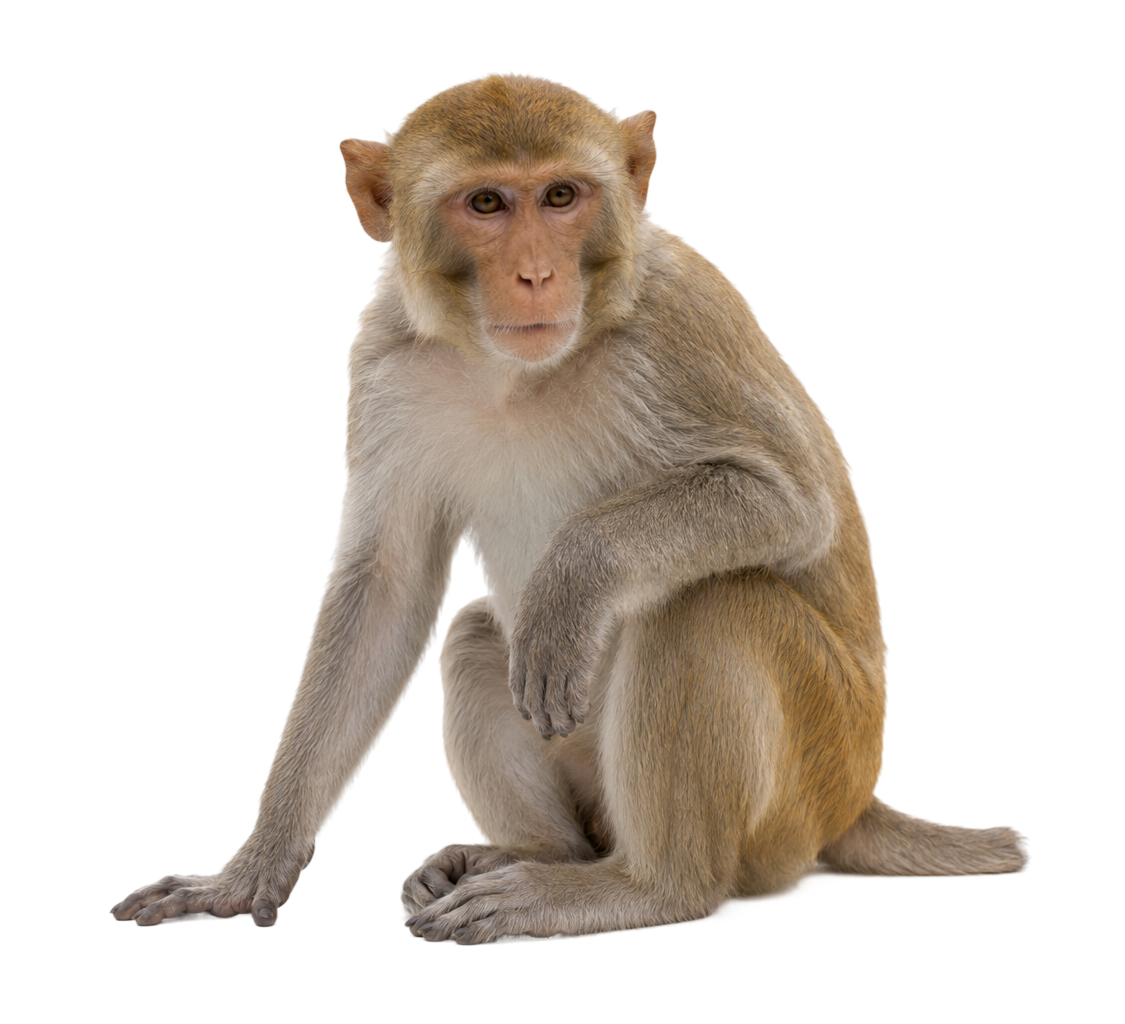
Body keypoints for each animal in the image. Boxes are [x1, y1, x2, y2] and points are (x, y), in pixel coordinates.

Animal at [109, 73, 1030, 941]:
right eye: (486, 203)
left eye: (560, 196)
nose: (535, 275)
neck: (511, 371)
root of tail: (857, 799)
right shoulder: (382, 355)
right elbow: (388, 591)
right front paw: (248, 869)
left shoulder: (676, 319)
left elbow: (791, 502)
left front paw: (576, 577)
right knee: (476, 634)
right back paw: (538, 855)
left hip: (808, 781)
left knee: (706, 605)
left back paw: (643, 888)